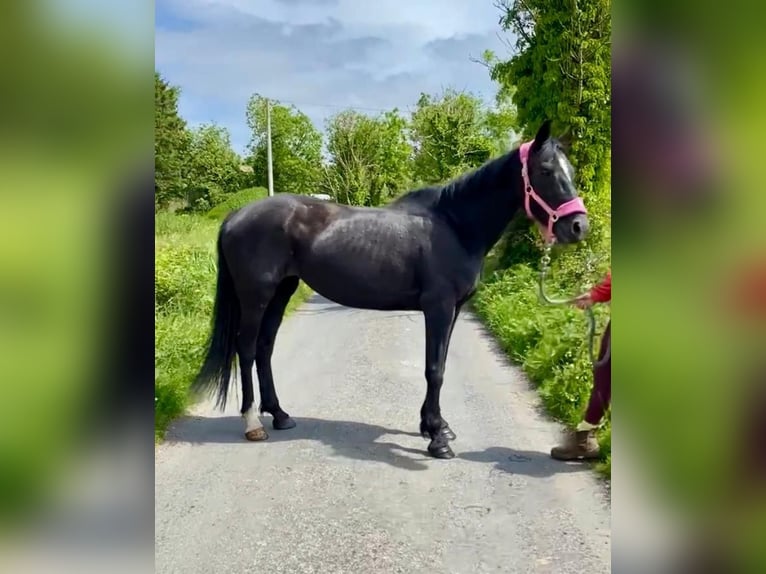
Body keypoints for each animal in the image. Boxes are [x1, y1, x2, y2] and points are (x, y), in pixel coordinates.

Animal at [190, 120, 588, 460]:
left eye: (570, 170)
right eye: (546, 171)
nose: (578, 226)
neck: (455, 226)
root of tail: (236, 215)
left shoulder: (454, 310)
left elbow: (441, 364)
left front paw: (435, 425)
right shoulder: (439, 307)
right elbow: (434, 369)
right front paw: (437, 439)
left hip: (282, 291)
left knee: (264, 347)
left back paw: (280, 414)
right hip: (256, 296)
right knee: (245, 348)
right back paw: (253, 423)